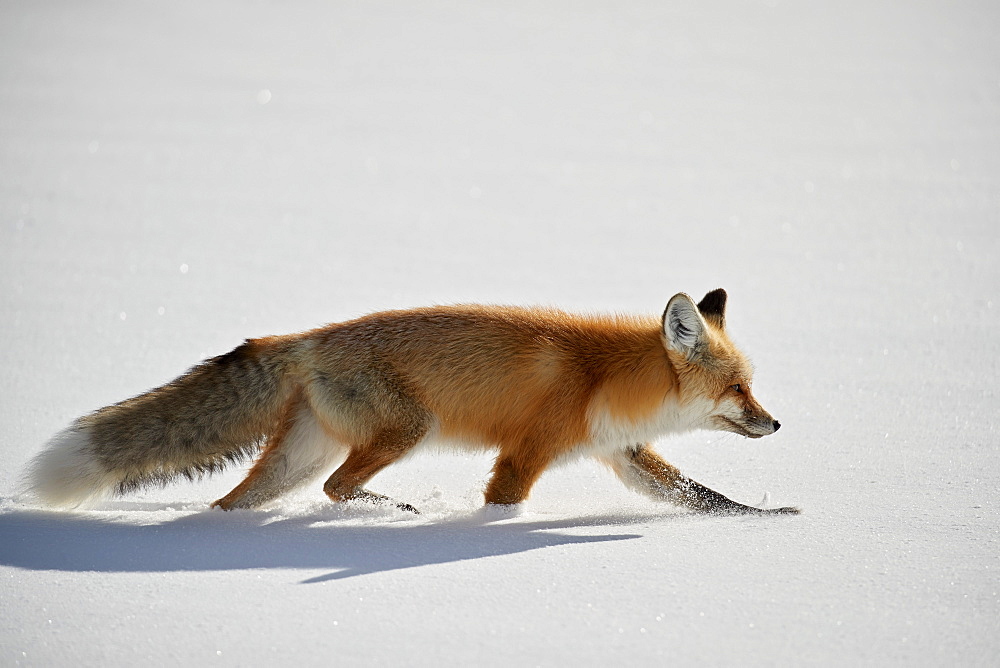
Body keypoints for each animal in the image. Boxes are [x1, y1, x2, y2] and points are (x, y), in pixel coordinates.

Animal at [27, 290, 800, 516]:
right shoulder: (525, 453)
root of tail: (302, 338)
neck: (602, 380)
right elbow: (503, 504)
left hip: (299, 459)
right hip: (404, 430)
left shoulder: (623, 452)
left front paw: (766, 520)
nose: (775, 422)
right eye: (738, 388)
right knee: (339, 488)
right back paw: (391, 511)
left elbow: (703, 496)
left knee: (238, 501)